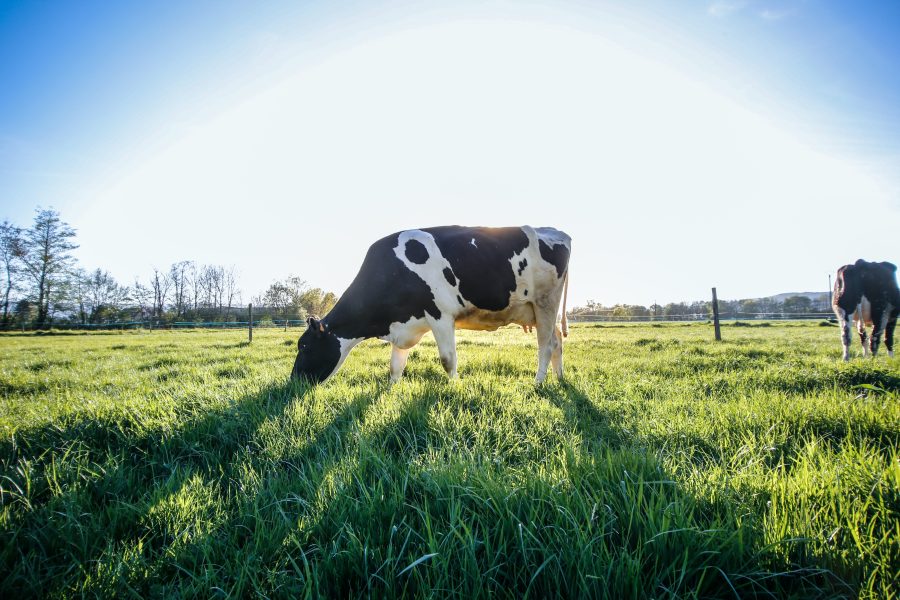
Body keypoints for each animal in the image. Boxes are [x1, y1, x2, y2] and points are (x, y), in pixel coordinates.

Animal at [291, 225, 571, 384]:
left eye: (304, 346)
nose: (293, 381)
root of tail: (555, 231)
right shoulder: (404, 323)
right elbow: (395, 366)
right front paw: (391, 390)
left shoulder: (441, 315)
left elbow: (448, 360)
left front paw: (455, 387)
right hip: (543, 310)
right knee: (557, 342)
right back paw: (559, 379)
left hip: (545, 302)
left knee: (545, 346)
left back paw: (538, 382)